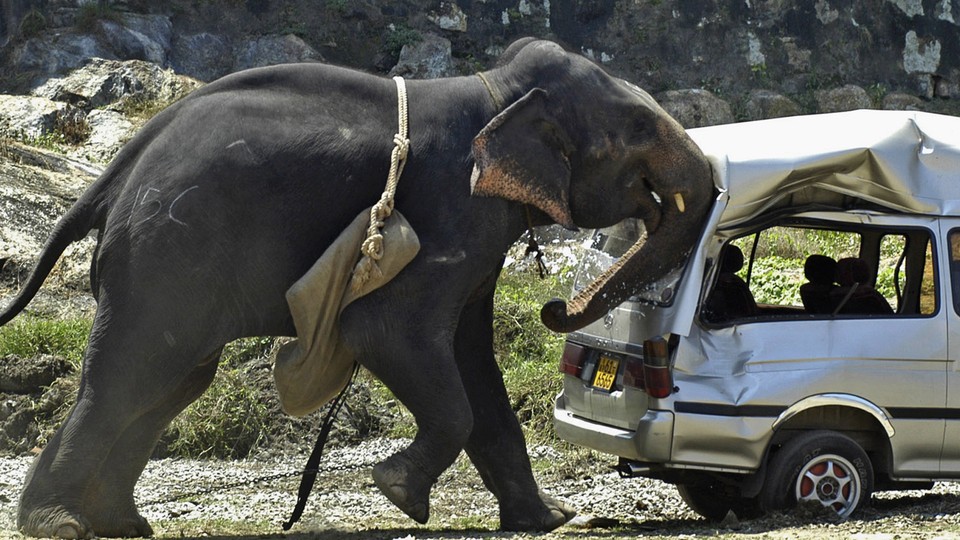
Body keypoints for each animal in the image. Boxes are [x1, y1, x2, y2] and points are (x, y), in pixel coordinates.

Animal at [0, 35, 712, 536]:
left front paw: (549, 520)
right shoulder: (454, 208)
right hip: (164, 251)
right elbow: (387, 330)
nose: (555, 304)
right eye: (640, 130)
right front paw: (398, 491)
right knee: (130, 373)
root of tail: (116, 173)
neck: (496, 89)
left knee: (171, 381)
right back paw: (60, 525)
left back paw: (120, 524)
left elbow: (471, 358)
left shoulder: (479, 230)